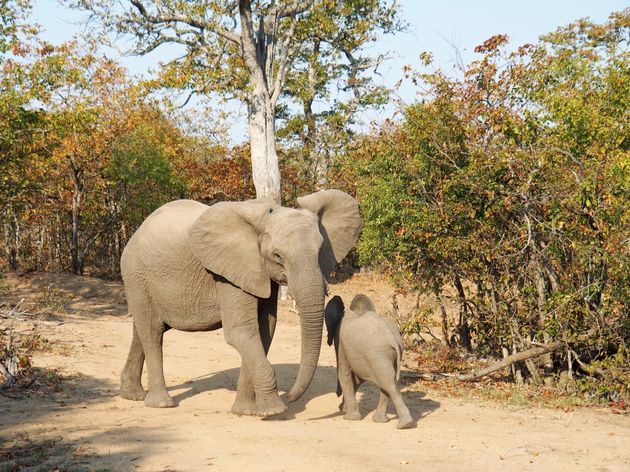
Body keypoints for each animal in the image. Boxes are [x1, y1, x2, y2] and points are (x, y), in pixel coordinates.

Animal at [120, 189, 362, 416]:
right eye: (277, 256)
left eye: (321, 251)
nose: (290, 397)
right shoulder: (229, 272)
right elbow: (241, 331)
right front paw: (274, 410)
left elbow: (264, 330)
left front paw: (246, 411)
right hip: (137, 275)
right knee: (152, 331)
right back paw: (161, 404)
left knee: (142, 331)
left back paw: (132, 395)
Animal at [326, 294, 414, 430]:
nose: (337, 395)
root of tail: (392, 339)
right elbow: (356, 379)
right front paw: (344, 410)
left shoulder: (340, 342)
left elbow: (345, 374)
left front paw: (349, 417)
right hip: (387, 354)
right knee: (389, 381)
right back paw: (384, 421)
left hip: (377, 354)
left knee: (388, 383)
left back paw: (404, 424)